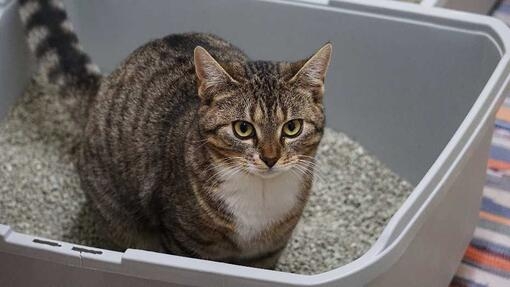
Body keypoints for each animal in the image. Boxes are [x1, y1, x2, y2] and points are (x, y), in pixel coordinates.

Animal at [18, 0, 330, 268]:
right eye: (243, 129)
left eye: (292, 127)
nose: (270, 158)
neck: (260, 196)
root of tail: (102, 88)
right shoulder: (183, 240)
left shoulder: (268, 251)